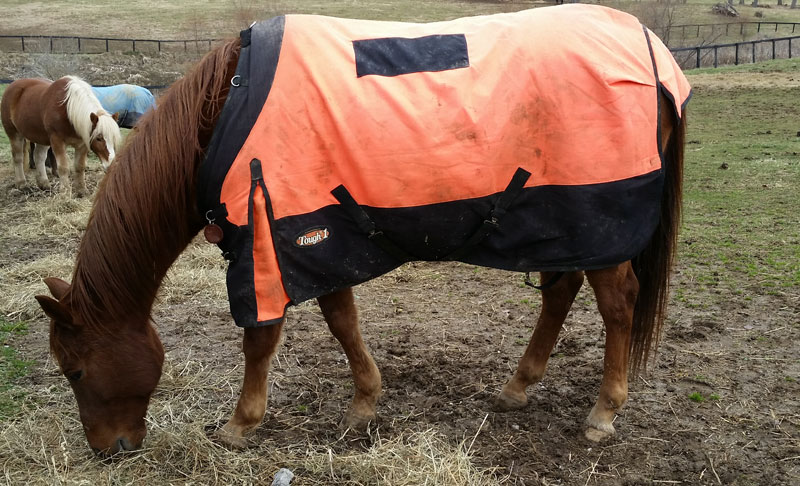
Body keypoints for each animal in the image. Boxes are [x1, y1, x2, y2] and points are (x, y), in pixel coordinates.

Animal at [36, 3, 688, 458]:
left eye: (75, 370)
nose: (108, 450)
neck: (224, 111)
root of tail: (652, 51)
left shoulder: (266, 243)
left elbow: (260, 338)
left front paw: (241, 424)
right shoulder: (317, 234)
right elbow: (341, 319)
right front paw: (364, 402)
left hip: (599, 216)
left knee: (618, 304)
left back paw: (603, 413)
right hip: (565, 221)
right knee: (560, 292)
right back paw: (517, 387)